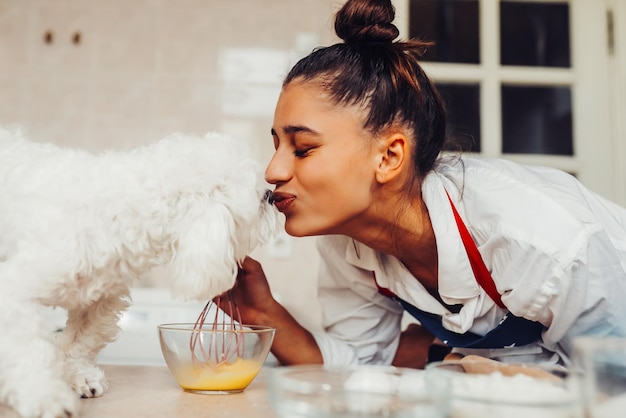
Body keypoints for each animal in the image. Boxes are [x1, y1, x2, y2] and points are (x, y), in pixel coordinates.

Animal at [0, 127, 276, 418]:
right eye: (258, 200)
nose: (271, 195)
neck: (122, 213)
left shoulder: (98, 303)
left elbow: (78, 344)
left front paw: (79, 377)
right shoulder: (15, 294)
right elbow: (28, 351)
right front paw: (45, 395)